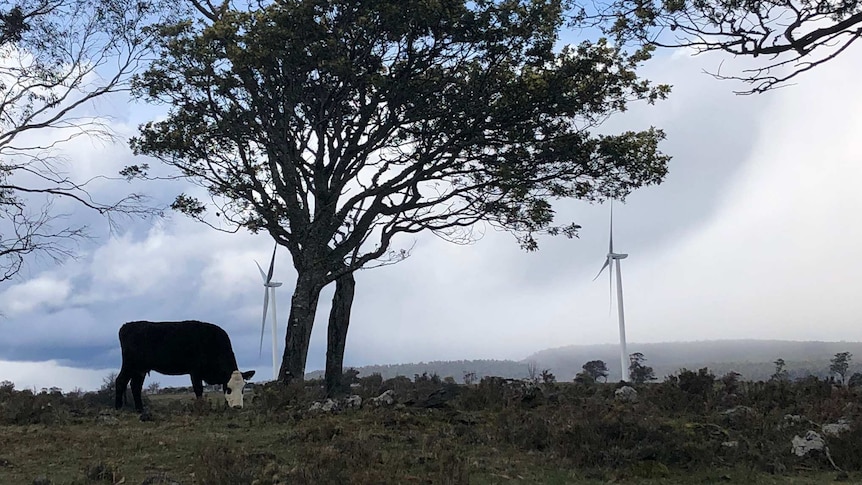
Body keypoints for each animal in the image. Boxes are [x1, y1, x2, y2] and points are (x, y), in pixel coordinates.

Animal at [113, 320, 253, 410]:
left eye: (243, 388)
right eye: (228, 388)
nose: (237, 406)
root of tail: (127, 326)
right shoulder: (195, 371)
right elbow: (198, 390)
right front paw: (201, 409)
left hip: (140, 369)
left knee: (135, 386)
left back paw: (140, 410)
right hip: (130, 365)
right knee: (120, 381)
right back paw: (118, 409)